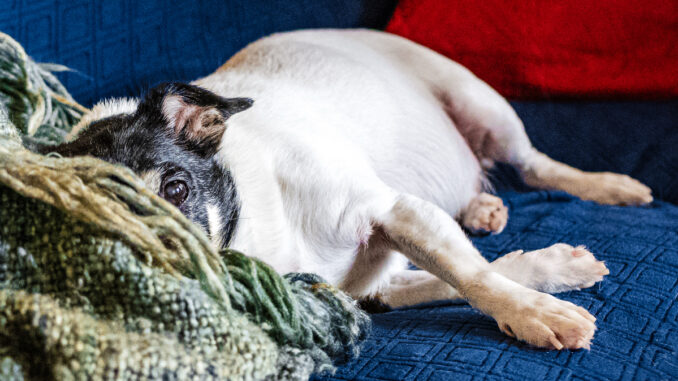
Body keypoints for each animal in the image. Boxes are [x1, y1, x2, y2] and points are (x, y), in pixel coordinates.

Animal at [45, 29, 656, 350]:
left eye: (176, 188)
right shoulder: (377, 284)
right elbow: (460, 276)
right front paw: (551, 276)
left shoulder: (393, 211)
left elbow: (474, 276)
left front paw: (535, 311)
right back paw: (483, 207)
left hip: (484, 107)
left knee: (535, 166)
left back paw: (608, 186)